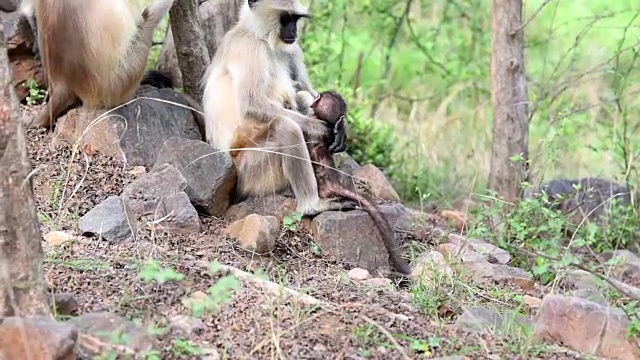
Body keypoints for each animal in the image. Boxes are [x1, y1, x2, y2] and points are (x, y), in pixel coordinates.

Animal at [204, 0, 356, 217]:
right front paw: (320, 128)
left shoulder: (292, 49)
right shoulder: (250, 48)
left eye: (295, 19)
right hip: (250, 169)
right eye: (285, 19)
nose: (293, 30)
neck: (260, 36)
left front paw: (340, 125)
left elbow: (302, 88)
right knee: (286, 126)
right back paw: (312, 205)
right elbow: (252, 105)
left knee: (301, 98)